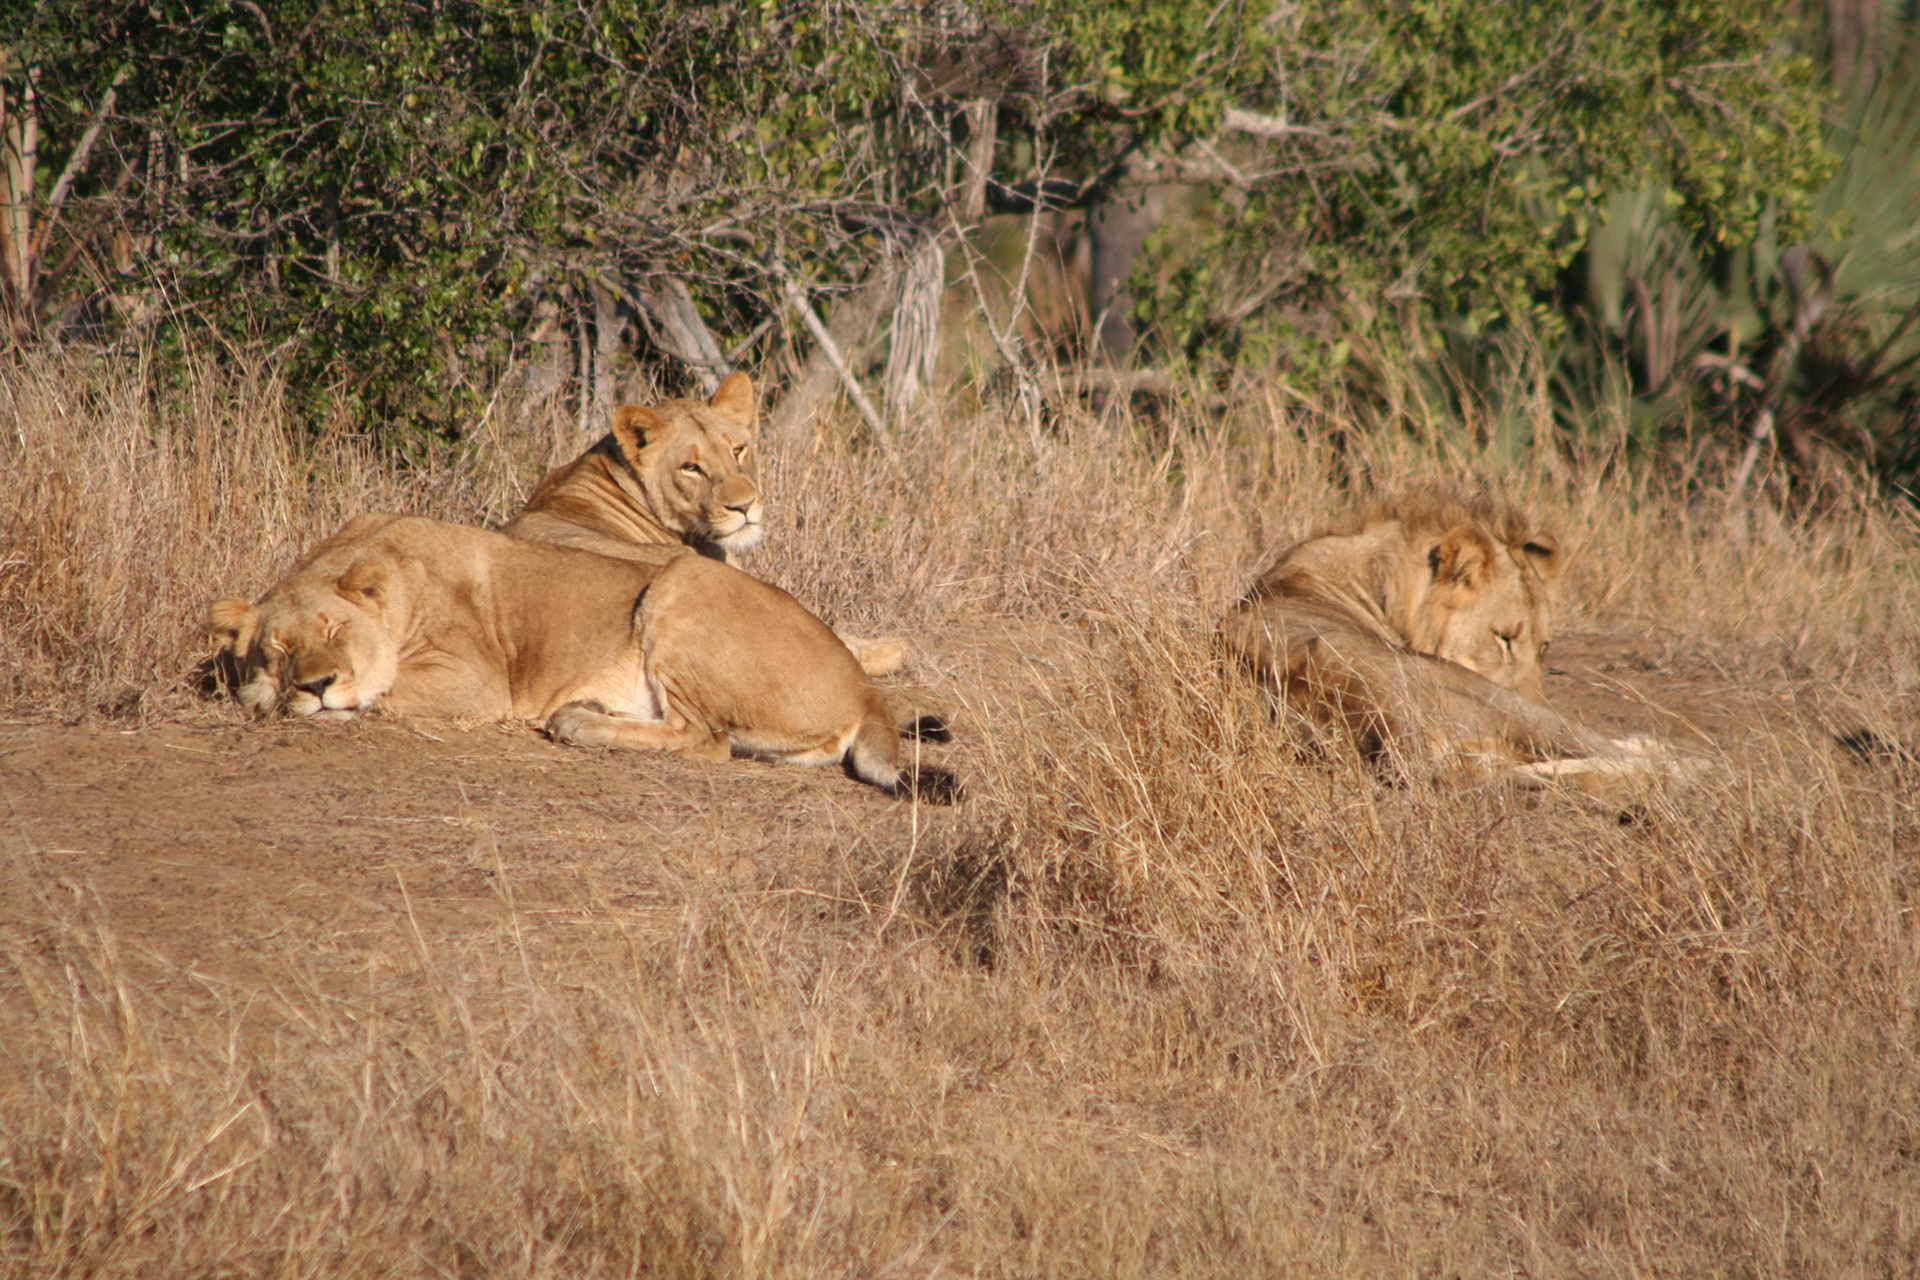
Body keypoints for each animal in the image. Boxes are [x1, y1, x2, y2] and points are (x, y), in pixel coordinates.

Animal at [207, 515, 957, 801]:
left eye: (335, 629)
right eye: (277, 651)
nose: (316, 685)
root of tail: (865, 688)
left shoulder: (476, 683)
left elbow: (385, 690)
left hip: (680, 582)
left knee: (704, 740)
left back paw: (578, 720)